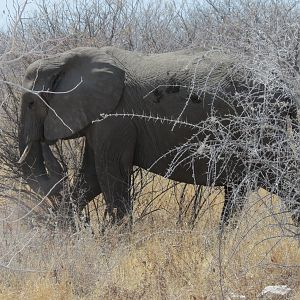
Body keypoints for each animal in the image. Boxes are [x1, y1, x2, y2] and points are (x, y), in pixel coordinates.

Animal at [18, 46, 300, 225]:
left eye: (30, 103)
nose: (43, 142)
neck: (63, 59)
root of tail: (284, 88)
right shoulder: (100, 119)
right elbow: (91, 178)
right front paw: (66, 233)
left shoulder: (115, 120)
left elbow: (110, 175)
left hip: (259, 126)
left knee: (282, 174)